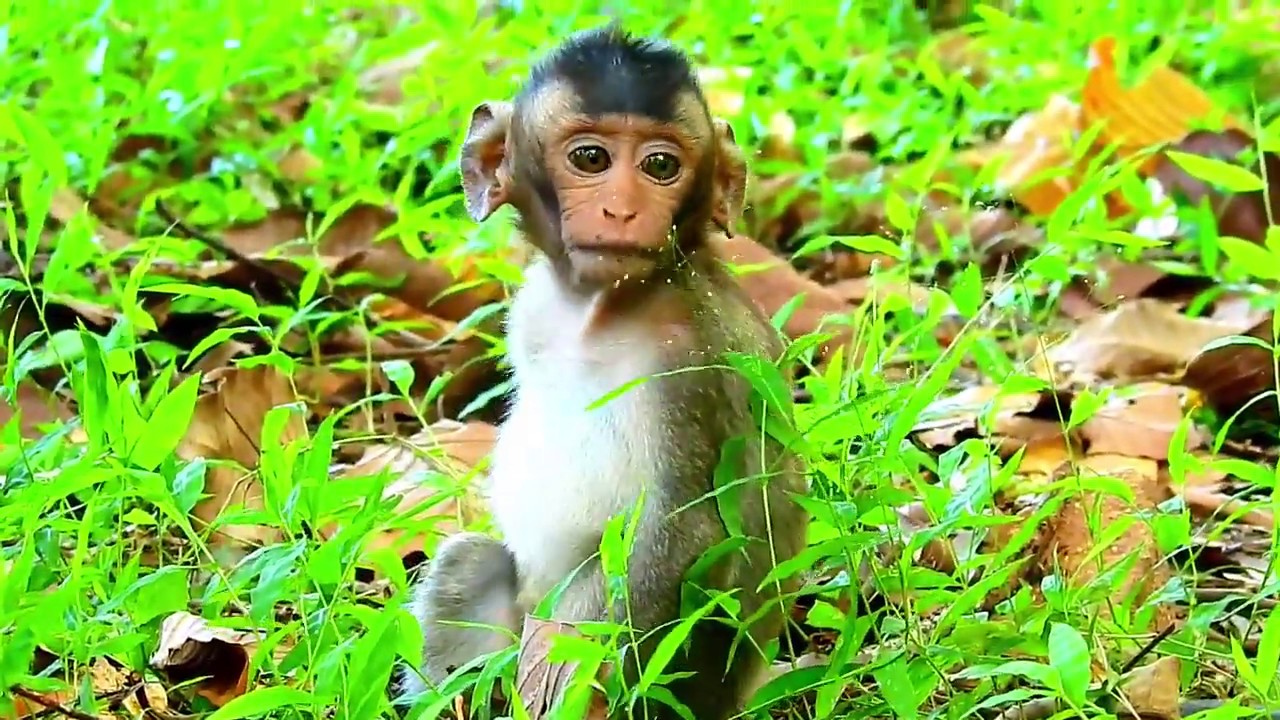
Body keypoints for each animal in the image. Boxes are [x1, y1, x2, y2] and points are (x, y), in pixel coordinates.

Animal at [398, 25, 810, 720]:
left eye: (661, 167)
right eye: (591, 159)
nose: (622, 209)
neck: (601, 309)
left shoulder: (689, 359)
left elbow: (686, 531)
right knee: (470, 562)